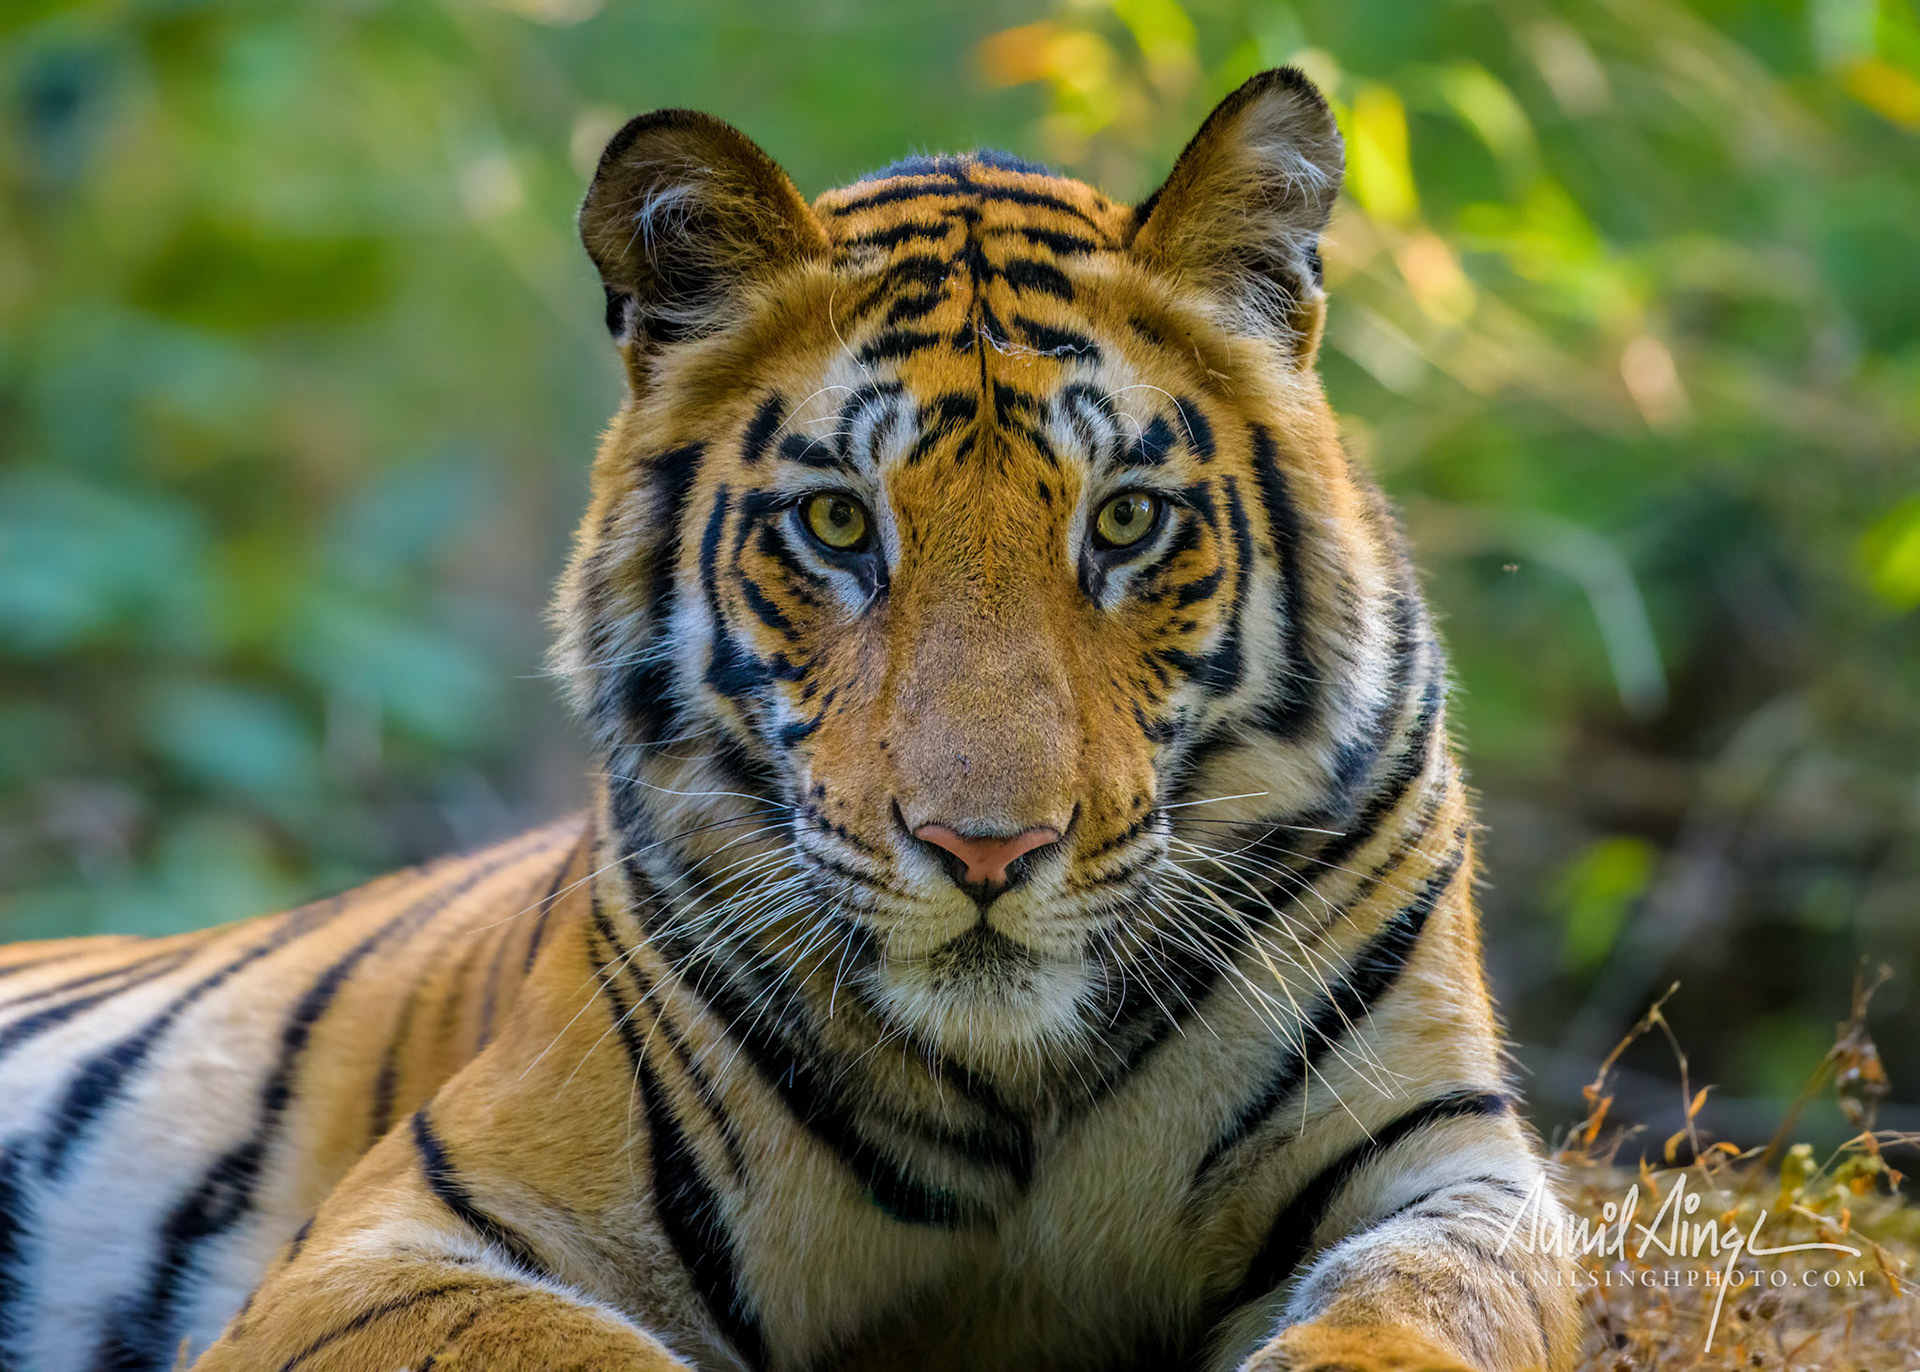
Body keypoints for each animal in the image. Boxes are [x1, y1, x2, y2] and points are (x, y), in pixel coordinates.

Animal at [0, 68, 1584, 1372]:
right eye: (837, 524)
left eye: (1126, 521)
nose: (988, 852)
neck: (1016, 1091)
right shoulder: (406, 1227)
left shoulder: (1441, 1169)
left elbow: (1418, 1322)